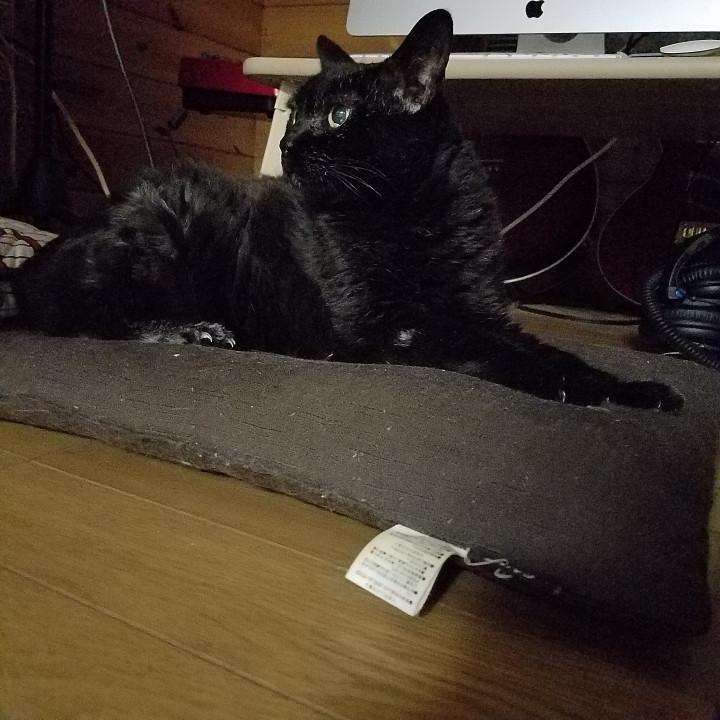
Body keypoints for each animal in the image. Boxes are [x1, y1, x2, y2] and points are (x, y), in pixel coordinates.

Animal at [8, 9, 682, 411]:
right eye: (295, 115)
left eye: (337, 117)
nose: (286, 144)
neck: (415, 212)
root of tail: (28, 268)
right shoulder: (391, 327)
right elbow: (487, 351)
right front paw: (571, 388)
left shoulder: (484, 312)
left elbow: (542, 346)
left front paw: (630, 388)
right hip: (154, 231)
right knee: (87, 319)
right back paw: (194, 331)